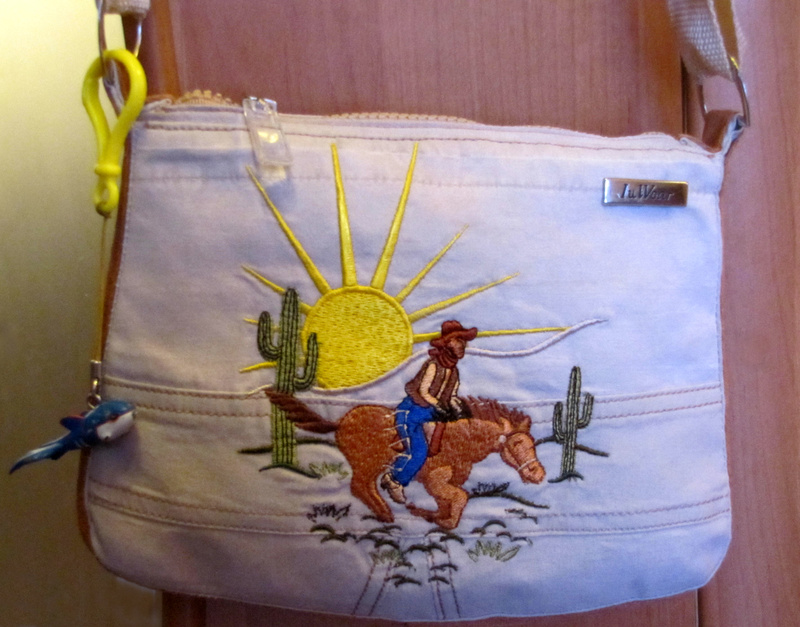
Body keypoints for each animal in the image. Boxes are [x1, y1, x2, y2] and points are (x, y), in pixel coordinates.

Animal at [266, 393, 546, 530]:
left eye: (532, 443)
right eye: (516, 444)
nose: (538, 474)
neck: (462, 439)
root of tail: (340, 421)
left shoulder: (443, 482)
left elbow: (449, 501)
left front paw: (435, 517)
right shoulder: (433, 478)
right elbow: (460, 498)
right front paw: (443, 522)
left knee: (366, 487)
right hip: (367, 464)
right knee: (359, 487)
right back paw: (386, 513)